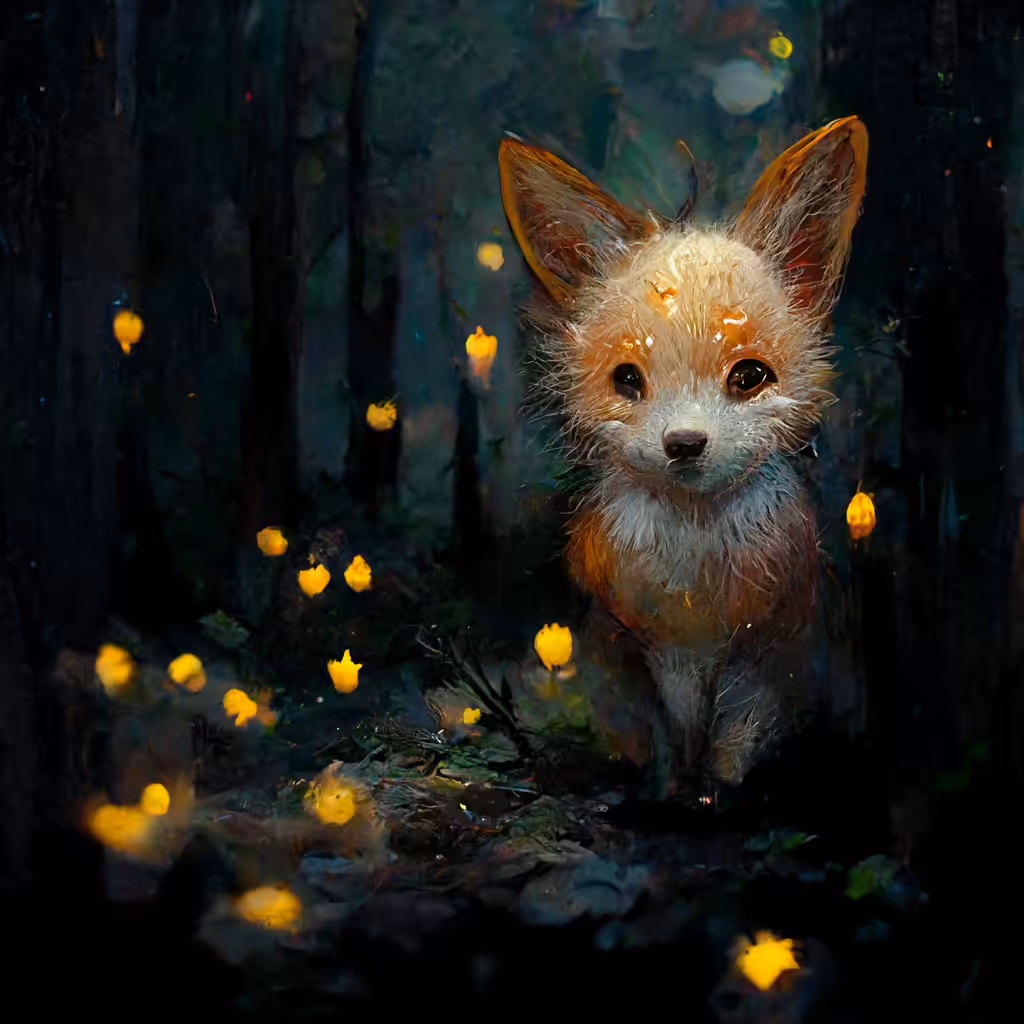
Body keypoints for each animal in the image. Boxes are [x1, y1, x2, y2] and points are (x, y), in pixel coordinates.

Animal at [499, 117, 868, 795]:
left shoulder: (766, 653)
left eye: (749, 377)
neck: (693, 583)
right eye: (627, 380)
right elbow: (662, 739)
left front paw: (716, 794)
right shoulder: (637, 651)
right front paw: (666, 791)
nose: (684, 443)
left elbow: (736, 739)